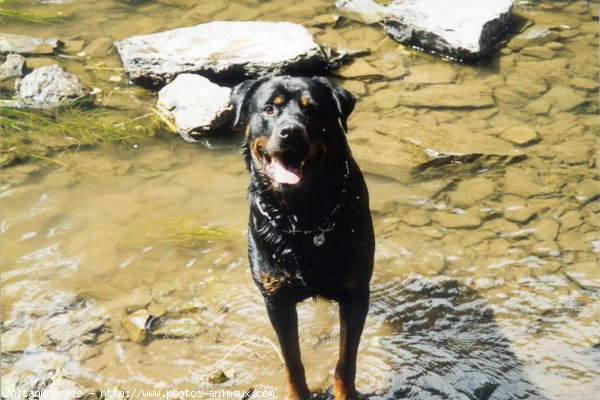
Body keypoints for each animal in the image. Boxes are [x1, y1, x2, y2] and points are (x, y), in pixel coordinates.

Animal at [232, 76, 372, 400]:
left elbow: (346, 361)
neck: (302, 217)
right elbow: (292, 361)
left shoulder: (356, 293)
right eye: (269, 109)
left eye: (313, 109)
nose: (291, 131)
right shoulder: (276, 299)